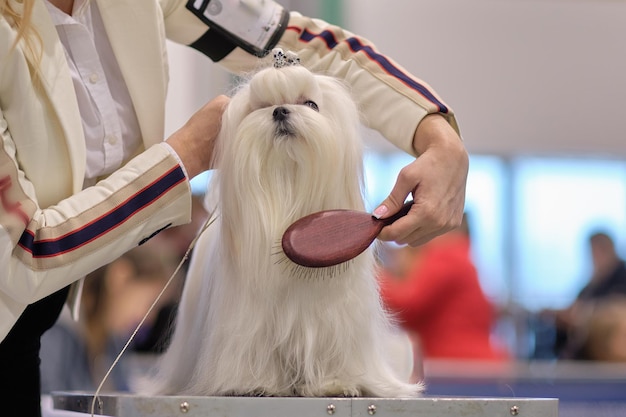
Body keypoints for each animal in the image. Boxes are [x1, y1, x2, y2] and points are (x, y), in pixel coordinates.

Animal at [146, 52, 420, 396]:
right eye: (261, 106)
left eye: (311, 104)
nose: (279, 111)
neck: (288, 183)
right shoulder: (248, 320)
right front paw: (255, 383)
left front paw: (335, 382)